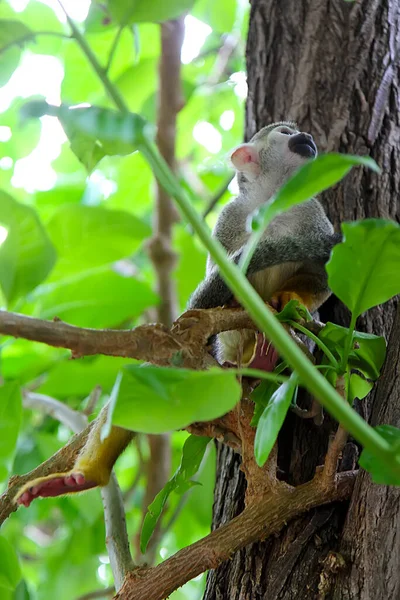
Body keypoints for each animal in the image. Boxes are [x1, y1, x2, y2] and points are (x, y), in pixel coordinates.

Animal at [14, 122, 338, 506]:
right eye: (287, 132)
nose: (307, 137)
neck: (273, 200)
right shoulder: (230, 217)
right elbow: (218, 277)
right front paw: (236, 302)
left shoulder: (313, 214)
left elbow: (323, 277)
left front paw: (293, 299)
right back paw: (85, 476)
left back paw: (266, 359)